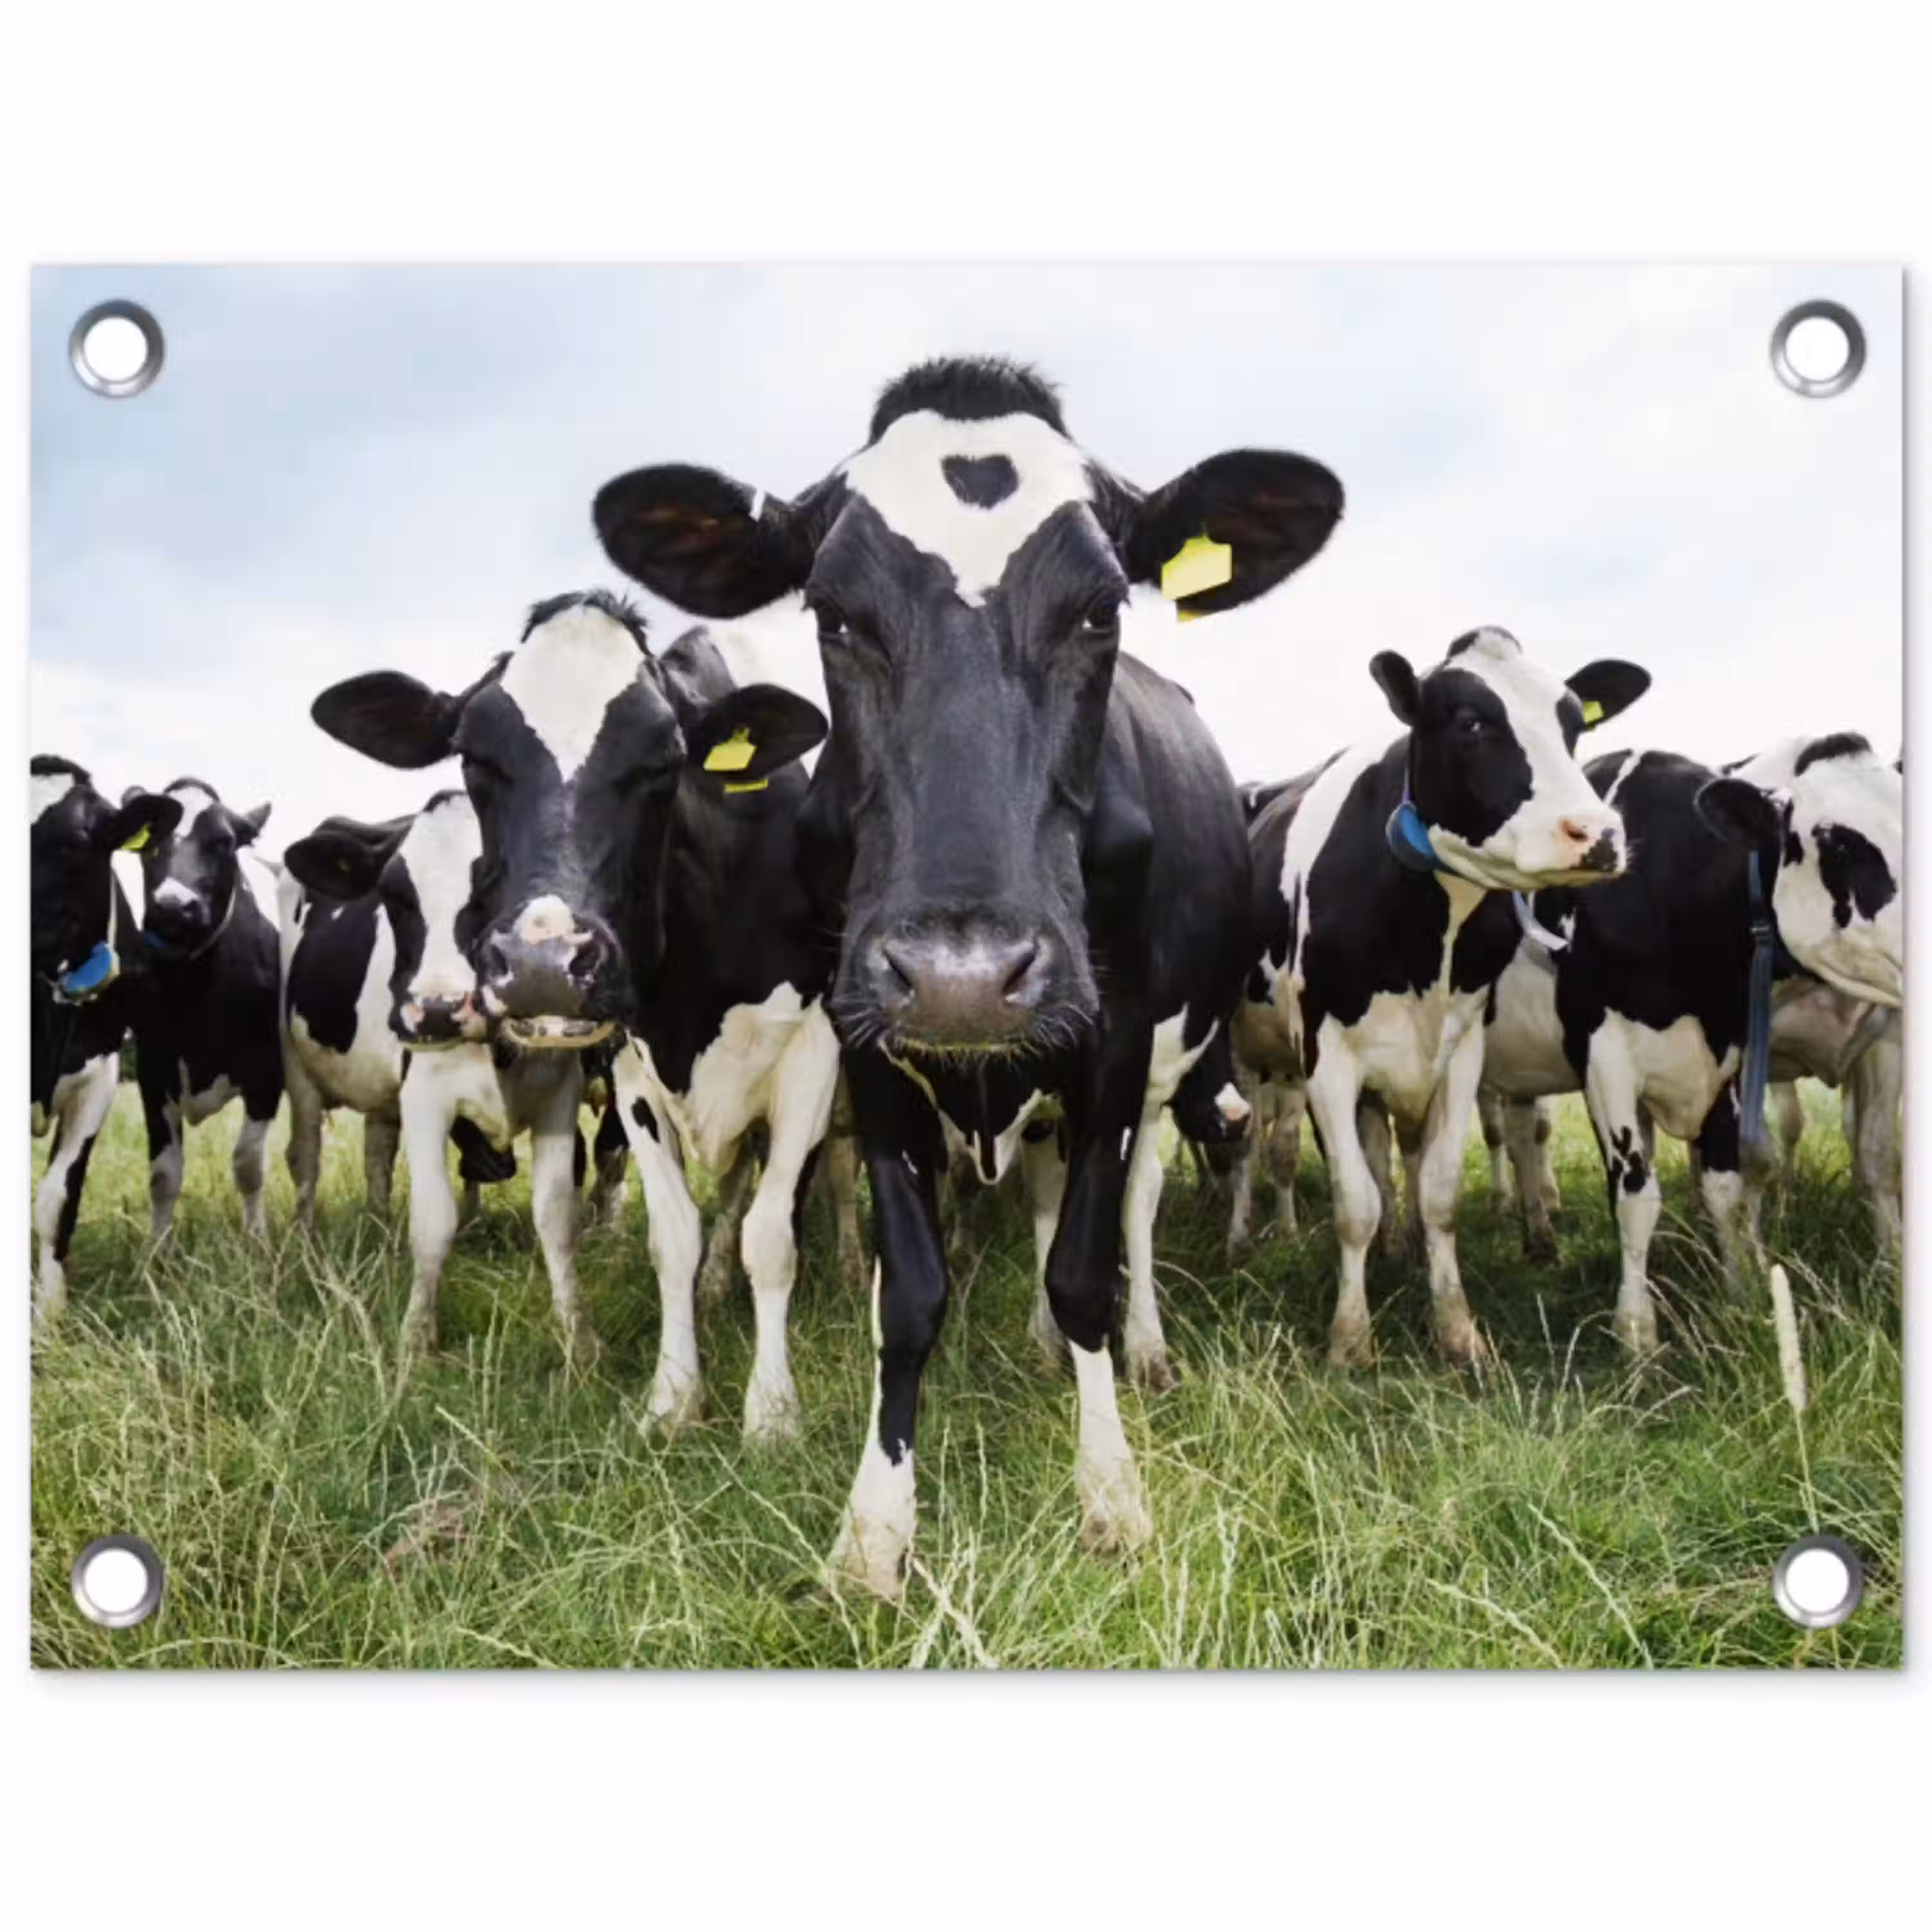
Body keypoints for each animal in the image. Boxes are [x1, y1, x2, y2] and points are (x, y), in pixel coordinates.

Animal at [128, 778, 284, 1244]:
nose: (173, 908)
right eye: (148, 842)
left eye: (225, 841)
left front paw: (257, 1240)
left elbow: (248, 1163)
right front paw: (157, 1249)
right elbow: (163, 1174)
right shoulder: (152, 1070)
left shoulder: (268, 1071)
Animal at [306, 599, 840, 1441]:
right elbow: (673, 1237)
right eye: (473, 757)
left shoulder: (813, 1061)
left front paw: (772, 1413)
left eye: (667, 760)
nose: (543, 964)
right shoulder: (632, 1072)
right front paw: (673, 1398)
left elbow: (772, 1237)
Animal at [589, 355, 1344, 1594]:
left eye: (1101, 608)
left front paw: (1112, 1494)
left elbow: (1084, 1267)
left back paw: (1134, 1353)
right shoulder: (866, 1043)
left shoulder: (1113, 1040)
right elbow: (909, 1291)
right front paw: (875, 1530)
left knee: (1127, 1212)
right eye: (833, 613)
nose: (963, 977)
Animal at [1234, 627, 1650, 1370]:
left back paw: (1396, 1249)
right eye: (1469, 722)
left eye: (1575, 724)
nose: (1598, 834)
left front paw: (1456, 1330)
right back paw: (1245, 1236)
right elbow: (1353, 1202)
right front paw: (1350, 1341)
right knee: (1252, 1145)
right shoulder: (1325, 1056)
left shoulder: (1459, 1053)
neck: (1424, 934)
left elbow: (1438, 1191)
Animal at [1482, 730, 1902, 1354]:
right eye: (1843, 846)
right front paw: (1637, 1334)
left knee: (1521, 1131)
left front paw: (1741, 1294)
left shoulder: (1734, 1055)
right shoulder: (1602, 1054)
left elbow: (1734, 1182)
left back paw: (1539, 1237)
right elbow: (1637, 1195)